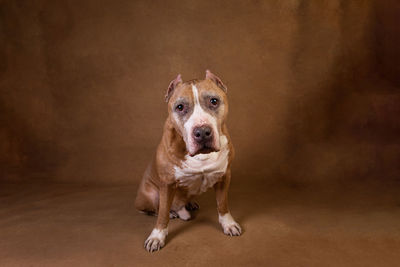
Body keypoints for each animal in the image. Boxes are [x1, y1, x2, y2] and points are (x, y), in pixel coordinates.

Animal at [134, 69, 241, 253]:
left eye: (214, 101)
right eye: (180, 107)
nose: (203, 132)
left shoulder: (224, 176)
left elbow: (222, 204)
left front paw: (228, 224)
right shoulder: (167, 184)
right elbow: (162, 214)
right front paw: (157, 236)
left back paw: (189, 204)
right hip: (149, 194)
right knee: (153, 209)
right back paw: (171, 212)